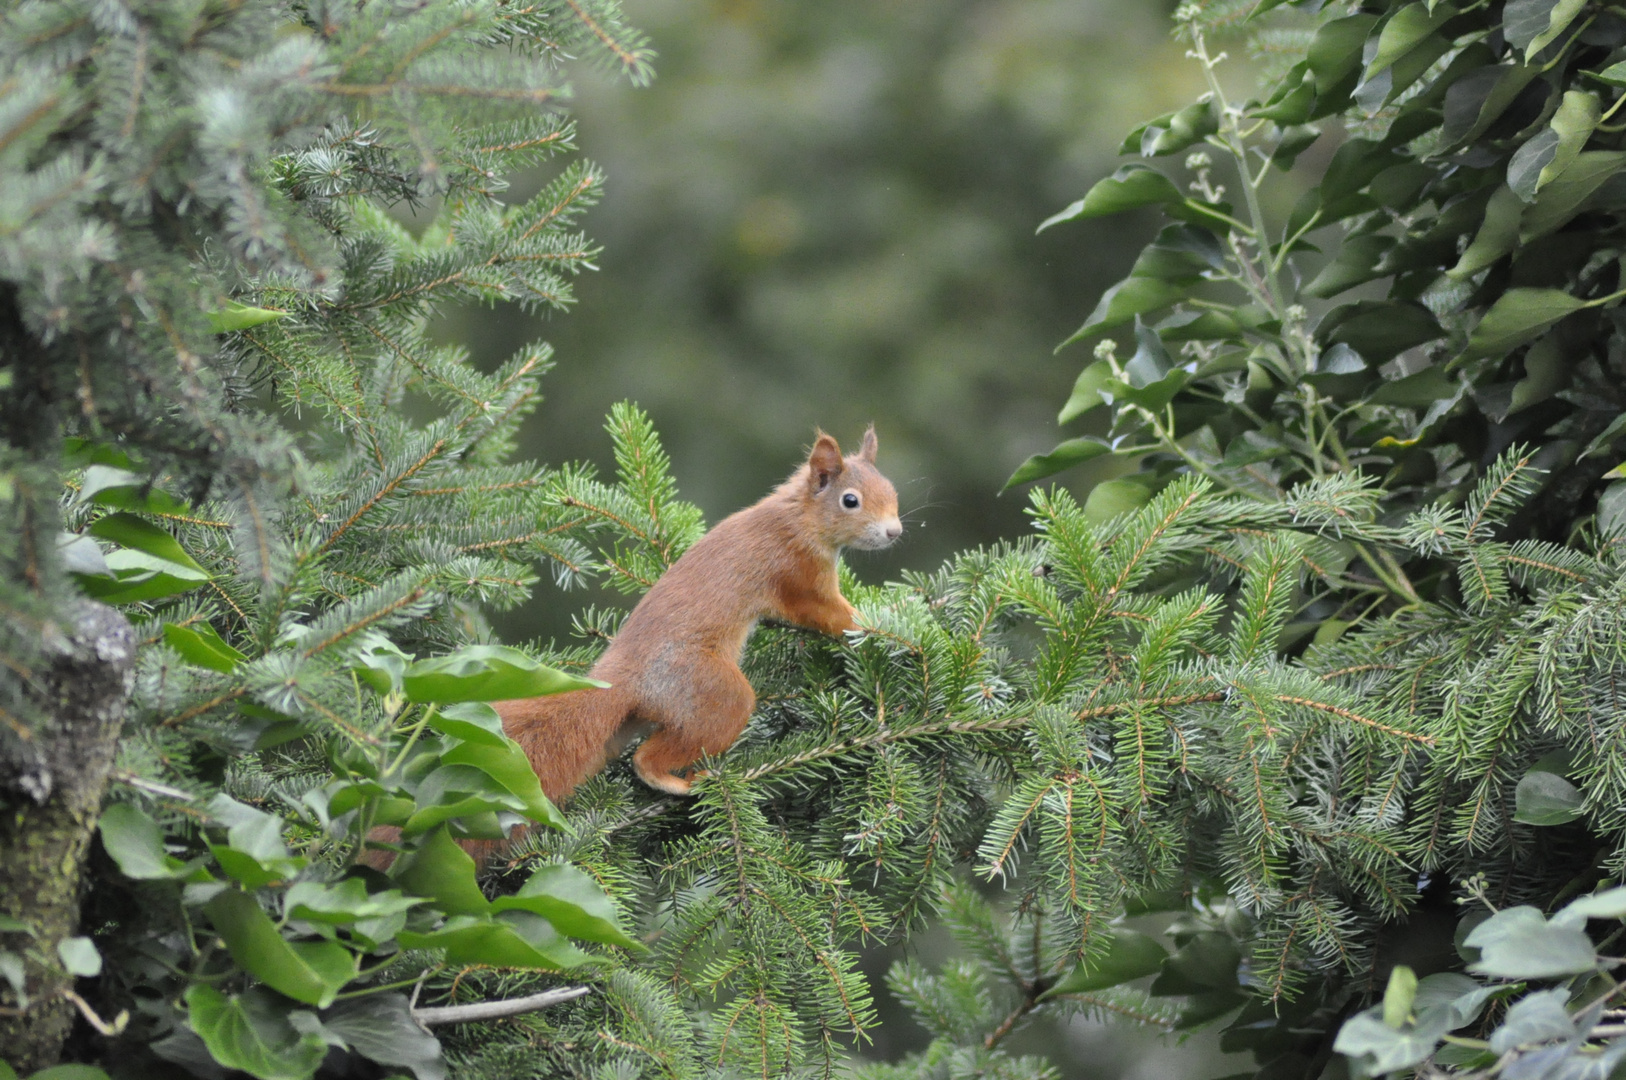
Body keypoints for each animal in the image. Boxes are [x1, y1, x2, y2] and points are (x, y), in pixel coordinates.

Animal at [497, 429, 904, 800]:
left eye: (892, 491)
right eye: (850, 501)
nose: (895, 531)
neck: (799, 516)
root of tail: (624, 681)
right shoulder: (797, 575)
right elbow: (828, 613)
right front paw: (881, 618)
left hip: (626, 725)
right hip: (710, 692)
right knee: (648, 758)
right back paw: (682, 783)